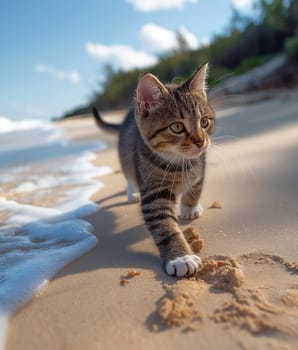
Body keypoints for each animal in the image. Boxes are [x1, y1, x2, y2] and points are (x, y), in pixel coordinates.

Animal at [93, 63, 214, 276]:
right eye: (177, 127)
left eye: (204, 122)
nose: (201, 142)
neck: (179, 163)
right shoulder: (153, 193)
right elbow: (164, 226)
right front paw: (180, 257)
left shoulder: (201, 164)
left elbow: (196, 187)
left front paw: (190, 208)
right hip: (127, 155)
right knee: (128, 173)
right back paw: (132, 192)